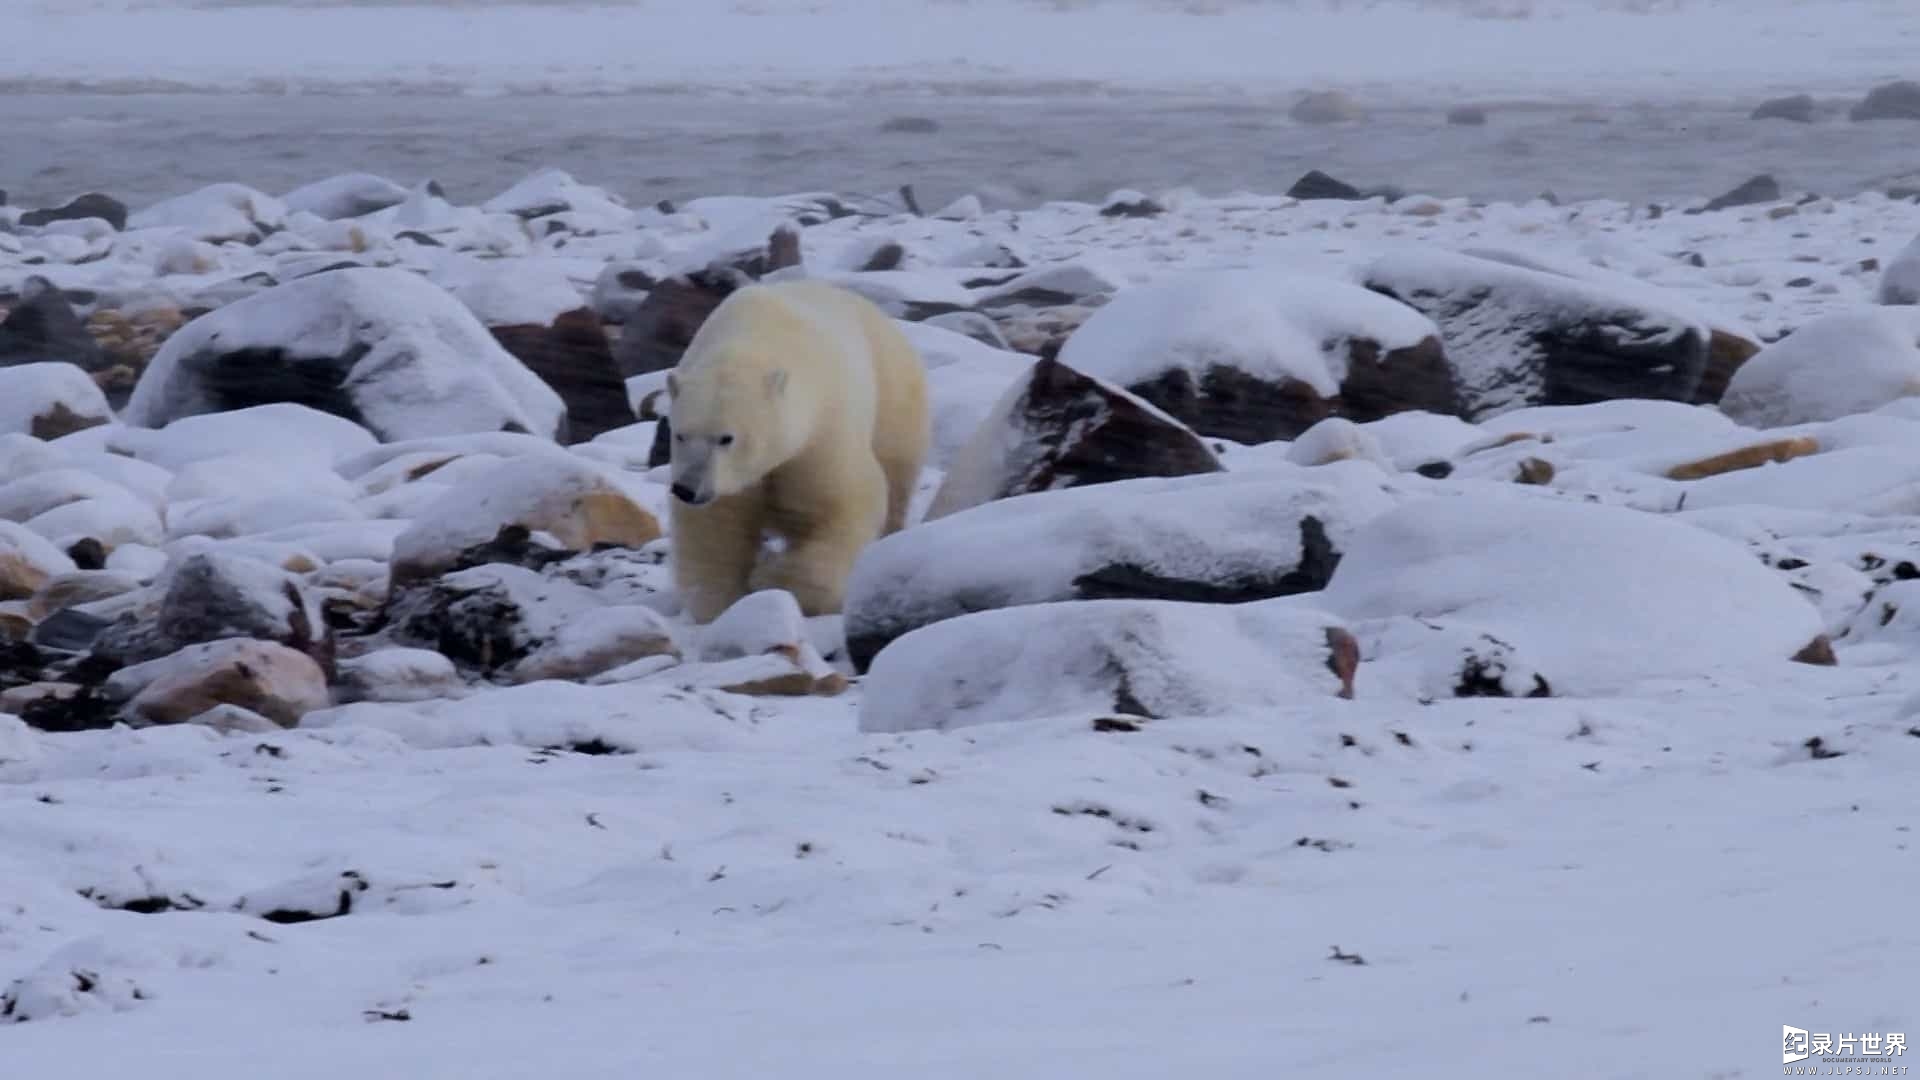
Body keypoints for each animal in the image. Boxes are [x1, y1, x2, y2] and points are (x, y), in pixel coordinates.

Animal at [664, 274, 933, 622]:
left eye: (726, 438)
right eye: (680, 435)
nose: (687, 488)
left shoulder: (820, 433)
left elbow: (840, 506)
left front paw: (773, 579)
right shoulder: (729, 485)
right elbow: (714, 527)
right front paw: (721, 602)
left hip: (892, 393)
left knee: (897, 472)